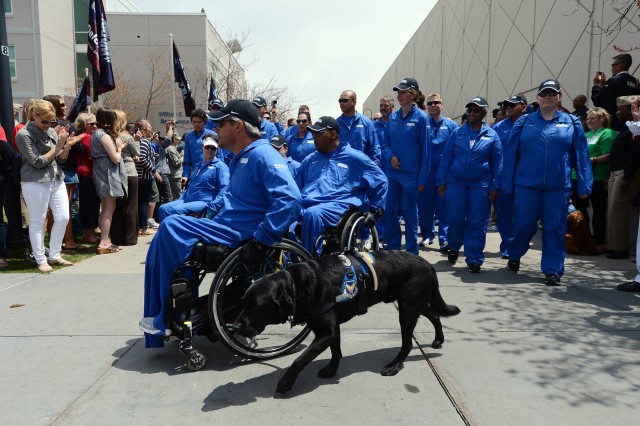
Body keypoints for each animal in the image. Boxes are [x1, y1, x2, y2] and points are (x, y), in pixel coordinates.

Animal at [231, 250, 460, 392]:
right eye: (242, 303)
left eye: (256, 306)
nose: (235, 327)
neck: (297, 286)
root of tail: (428, 264)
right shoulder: (332, 330)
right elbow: (336, 351)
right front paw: (332, 370)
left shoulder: (326, 331)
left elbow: (299, 360)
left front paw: (286, 382)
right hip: (413, 303)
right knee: (434, 314)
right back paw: (438, 339)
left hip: (407, 309)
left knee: (408, 343)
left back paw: (394, 366)